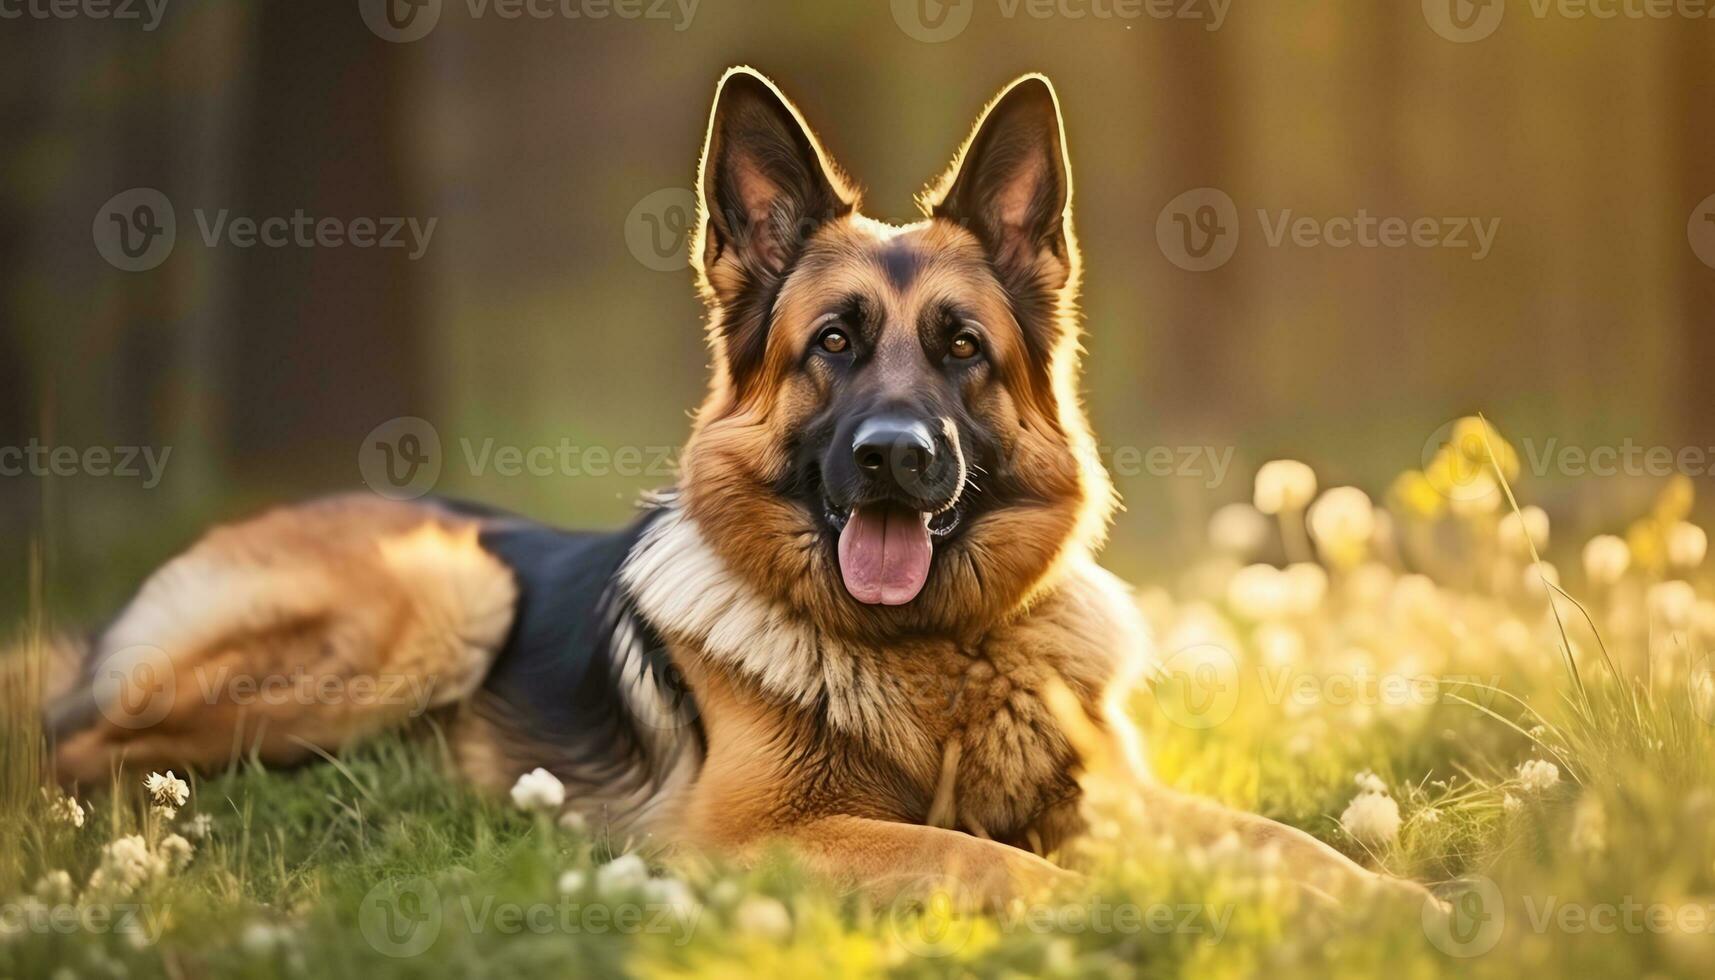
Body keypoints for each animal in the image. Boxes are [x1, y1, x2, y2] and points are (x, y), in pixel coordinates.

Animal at [43, 69, 1433, 913]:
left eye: (960, 349)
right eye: (833, 342)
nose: (893, 456)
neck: (935, 659)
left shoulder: (1117, 797)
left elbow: (1283, 838)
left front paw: (1394, 904)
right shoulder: (755, 837)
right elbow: (975, 854)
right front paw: (1105, 908)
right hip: (442, 592)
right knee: (75, 746)